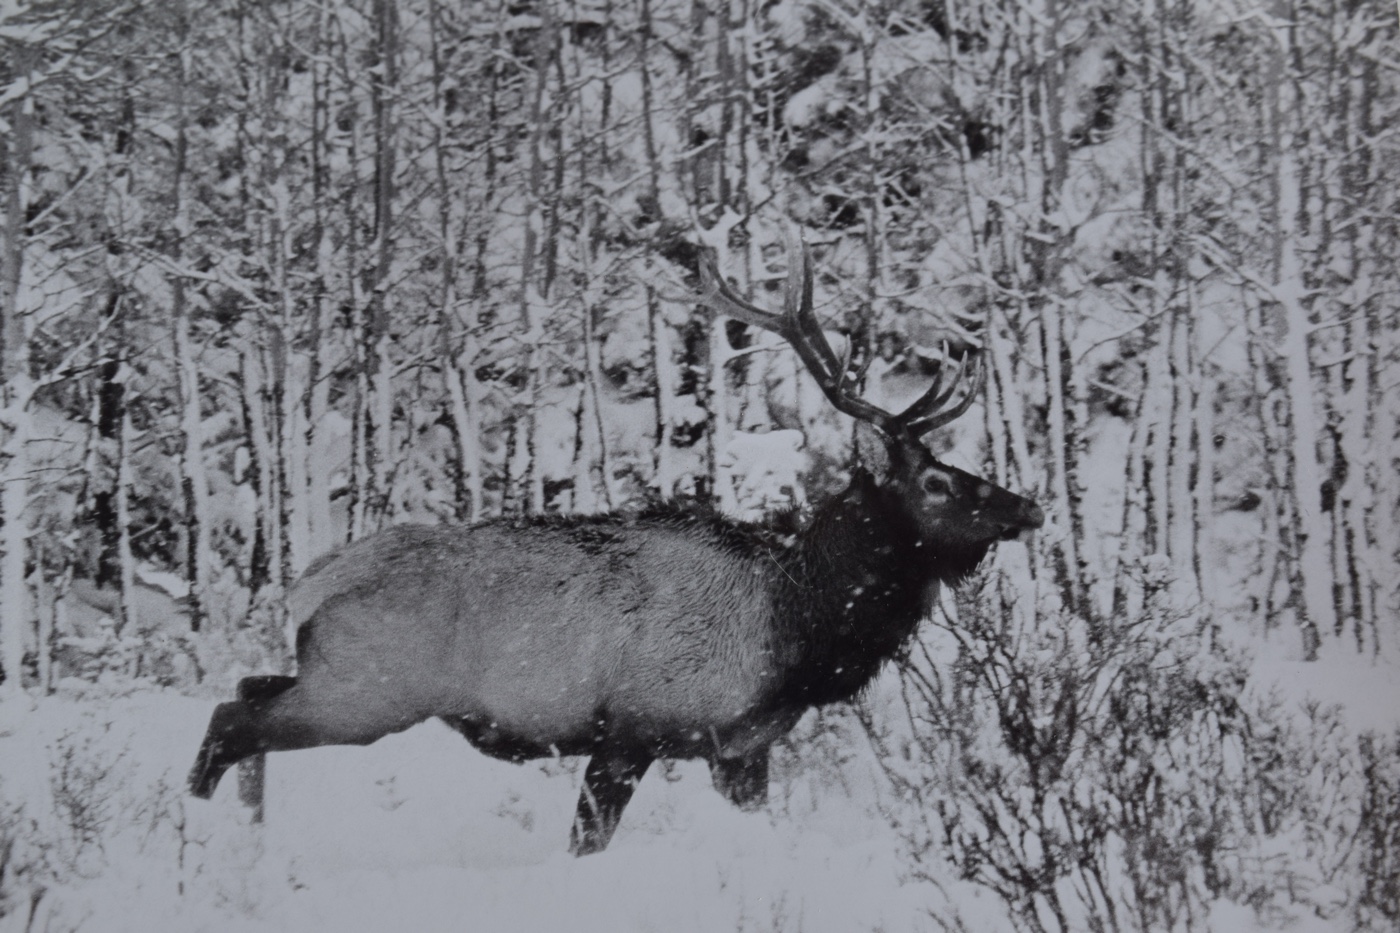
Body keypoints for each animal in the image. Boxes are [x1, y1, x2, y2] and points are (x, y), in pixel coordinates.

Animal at [183, 243, 1041, 851]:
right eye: (935, 480)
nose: (1027, 504)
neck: (796, 634)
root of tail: (309, 582)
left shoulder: (741, 750)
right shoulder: (633, 729)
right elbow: (585, 842)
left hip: (331, 673)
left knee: (247, 686)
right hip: (369, 690)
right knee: (230, 716)